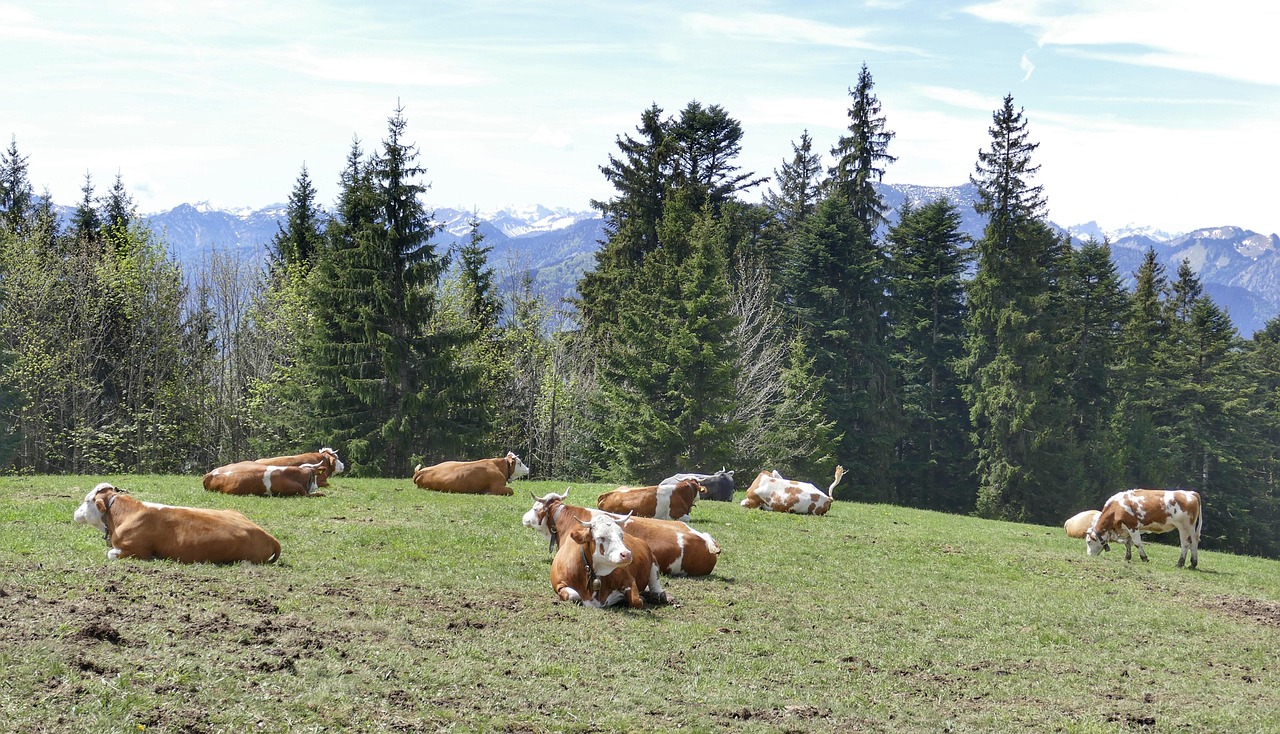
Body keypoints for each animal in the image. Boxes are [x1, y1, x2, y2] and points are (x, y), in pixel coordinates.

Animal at [545, 504, 675, 607]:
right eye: (601, 537)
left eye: (621, 535)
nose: (627, 554)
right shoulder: (560, 585)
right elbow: (574, 595)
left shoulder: (629, 579)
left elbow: (636, 600)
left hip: (653, 562)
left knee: (655, 583)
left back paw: (661, 595)